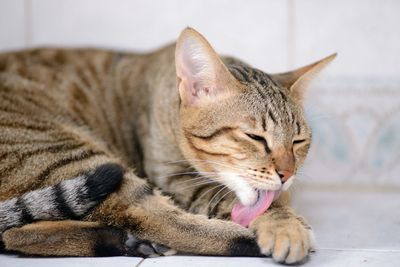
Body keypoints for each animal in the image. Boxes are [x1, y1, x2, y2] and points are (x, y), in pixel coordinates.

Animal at [0, 28, 334, 264]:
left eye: (299, 141)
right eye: (256, 138)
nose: (287, 174)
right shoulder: (177, 179)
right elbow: (255, 204)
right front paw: (285, 227)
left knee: (15, 234)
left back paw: (126, 241)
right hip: (69, 153)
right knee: (154, 217)